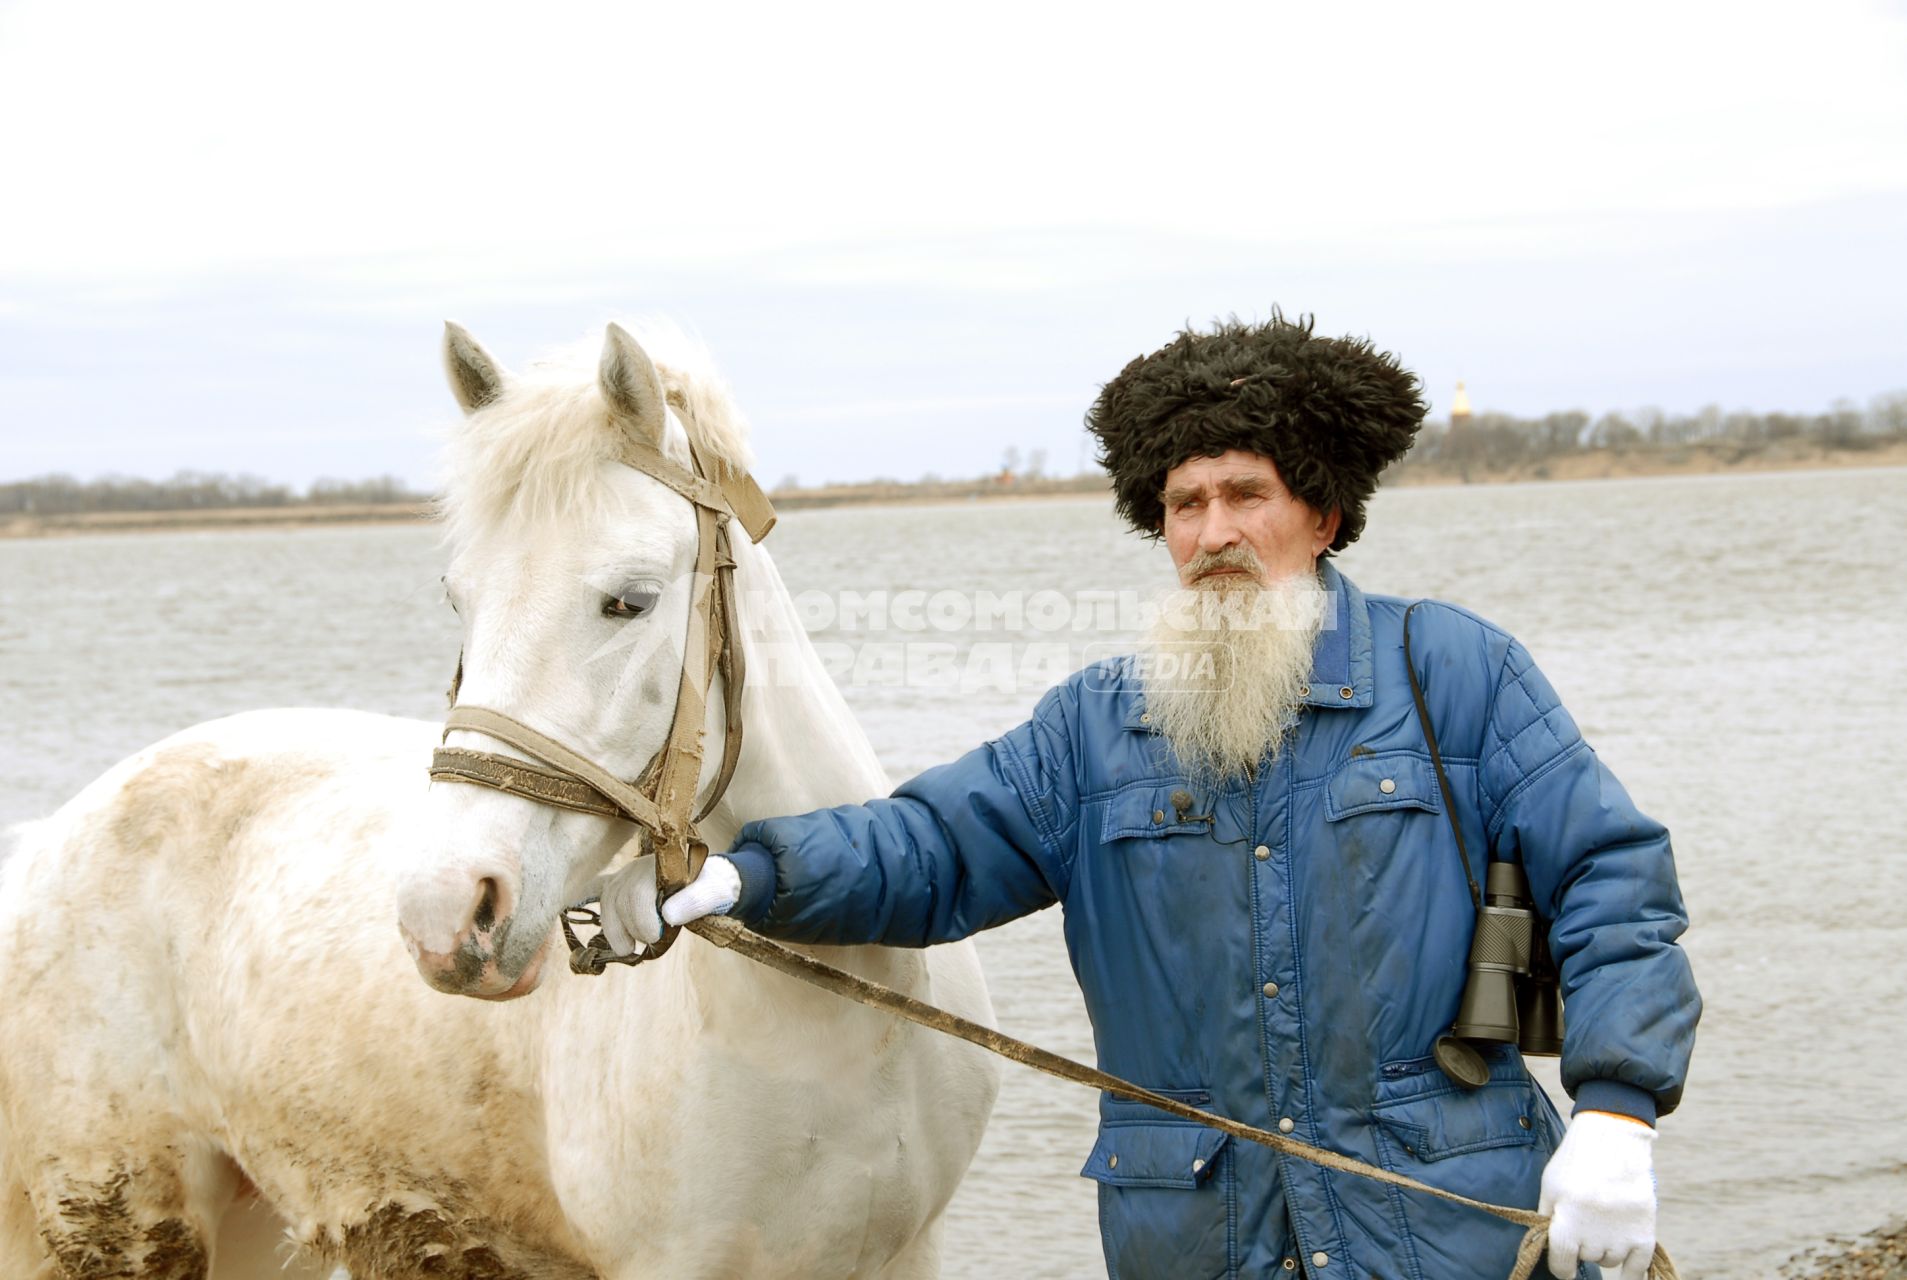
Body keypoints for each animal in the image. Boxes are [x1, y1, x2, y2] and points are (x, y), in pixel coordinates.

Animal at [0, 322, 1006, 1280]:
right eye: (459, 597)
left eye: (629, 600)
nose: (445, 915)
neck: (836, 1016)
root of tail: (49, 836)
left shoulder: (908, 1254)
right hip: (126, 1223)